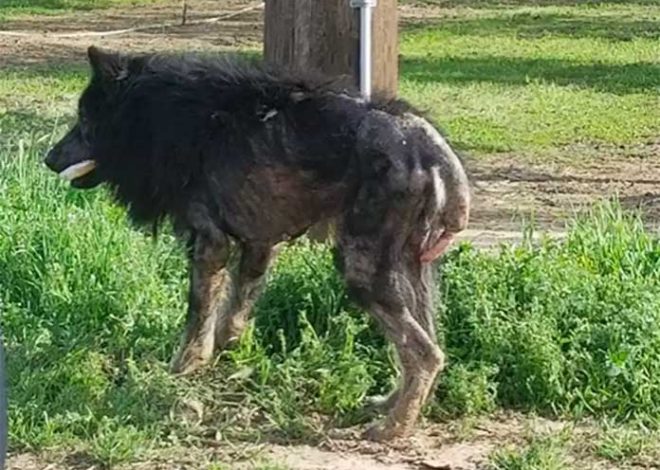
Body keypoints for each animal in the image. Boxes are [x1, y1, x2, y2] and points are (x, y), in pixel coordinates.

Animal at [45, 47, 470, 440]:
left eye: (85, 120)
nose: (48, 158)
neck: (164, 116)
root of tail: (430, 146)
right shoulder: (259, 244)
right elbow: (232, 316)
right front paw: (225, 359)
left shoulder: (210, 244)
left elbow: (197, 318)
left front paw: (182, 370)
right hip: (411, 271)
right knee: (430, 344)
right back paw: (392, 405)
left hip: (361, 269)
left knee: (424, 353)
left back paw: (394, 427)